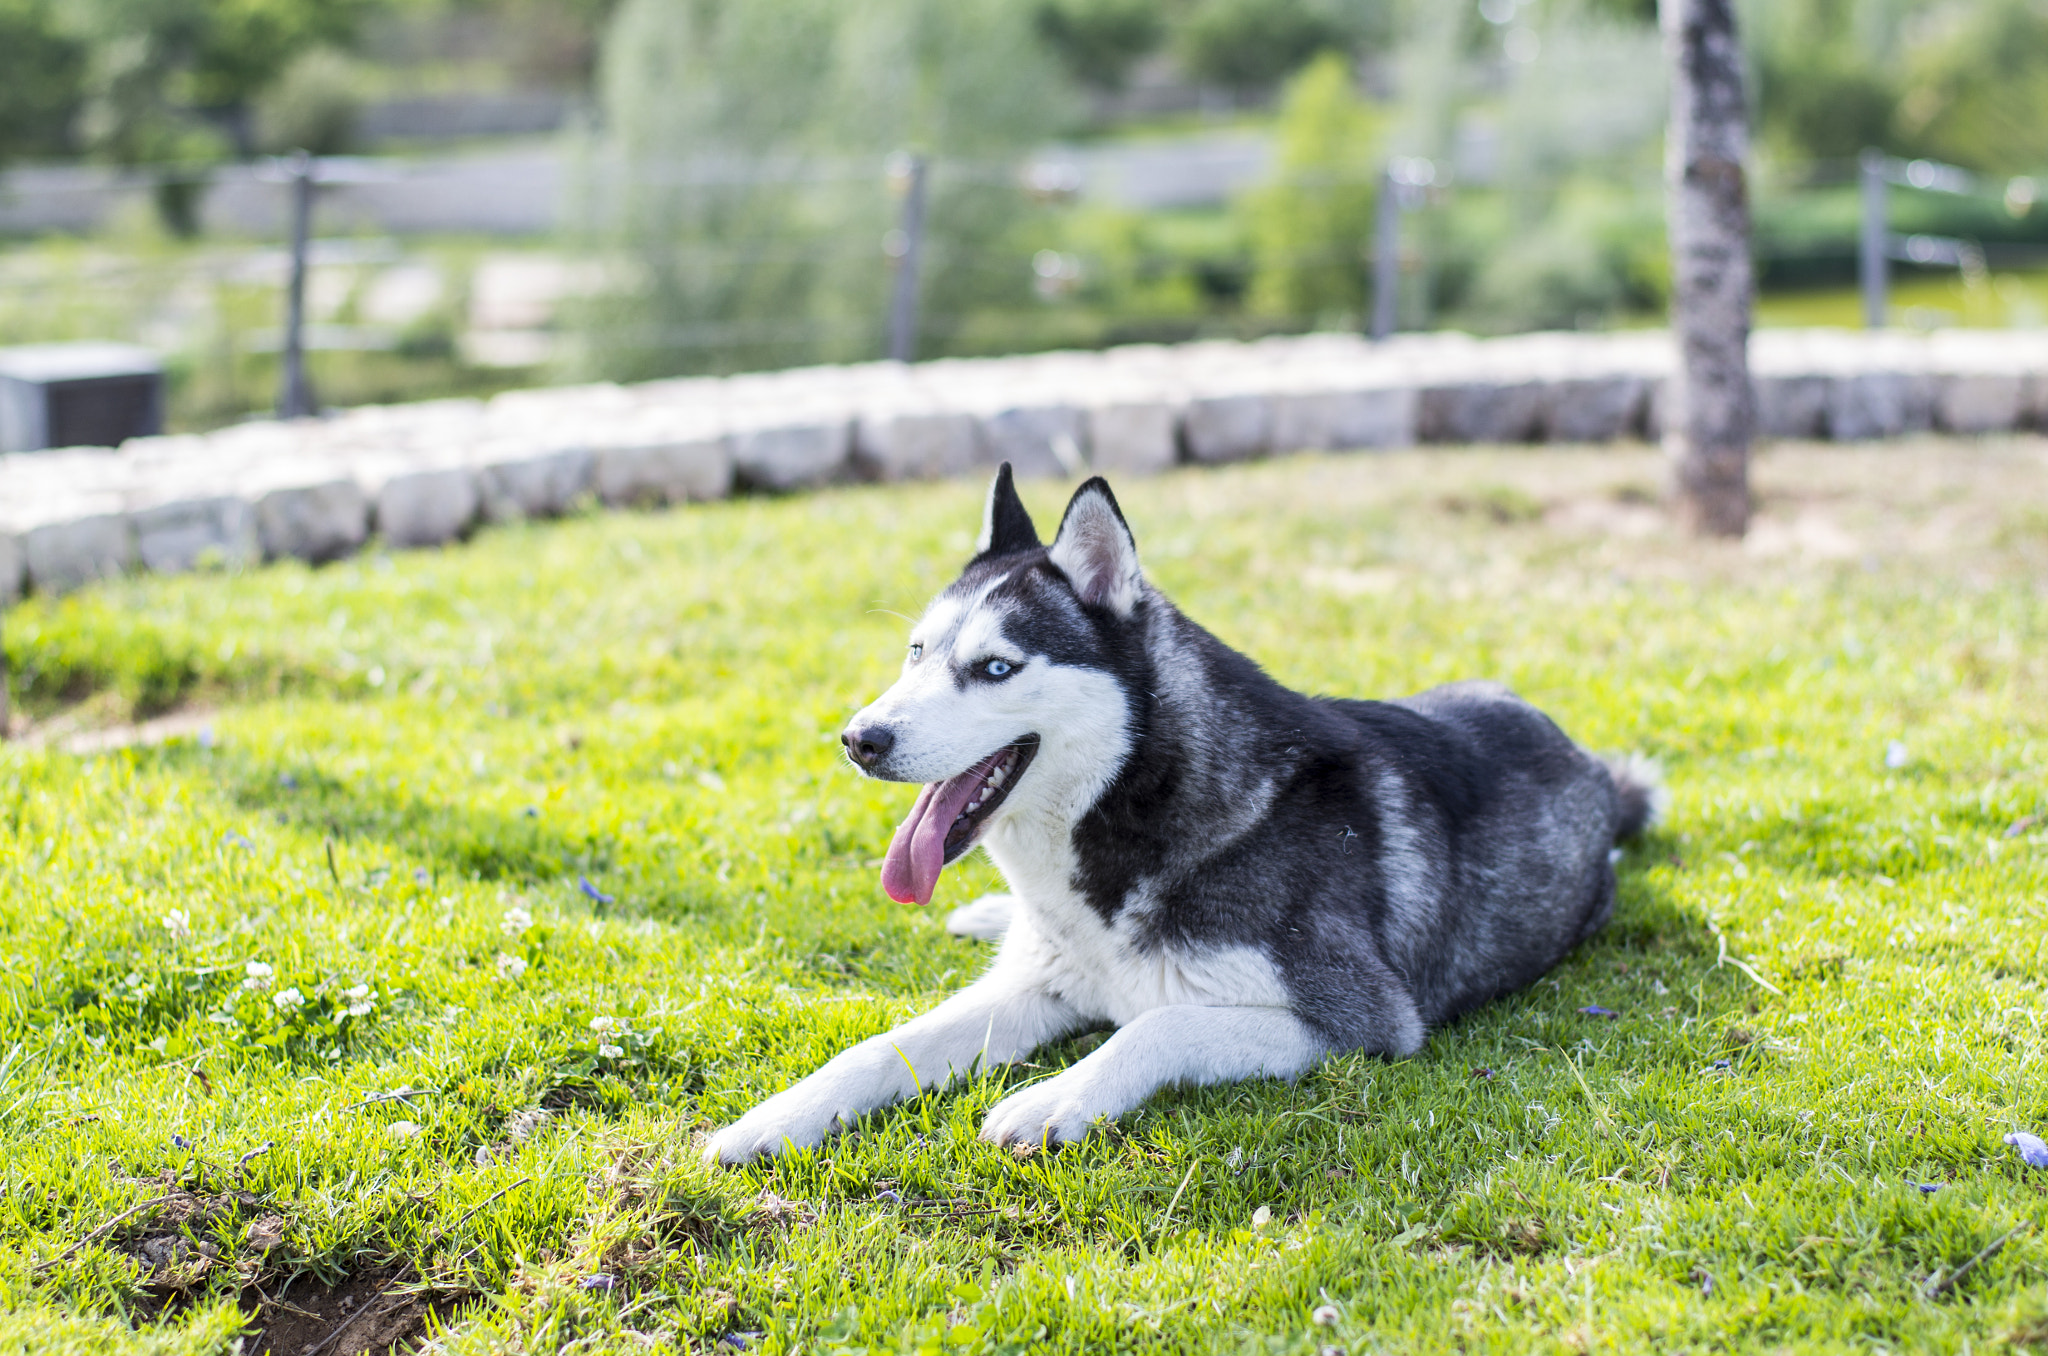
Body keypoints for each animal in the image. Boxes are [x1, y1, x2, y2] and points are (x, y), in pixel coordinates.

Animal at [700, 471, 1646, 1171]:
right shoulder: (1036, 988)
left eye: (997, 667)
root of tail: (1591, 764)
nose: (859, 739)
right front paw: (775, 1119)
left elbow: (1158, 1021)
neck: (1127, 813)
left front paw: (1052, 1098)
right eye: (917, 653)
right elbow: (879, 1048)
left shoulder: (1361, 1021)